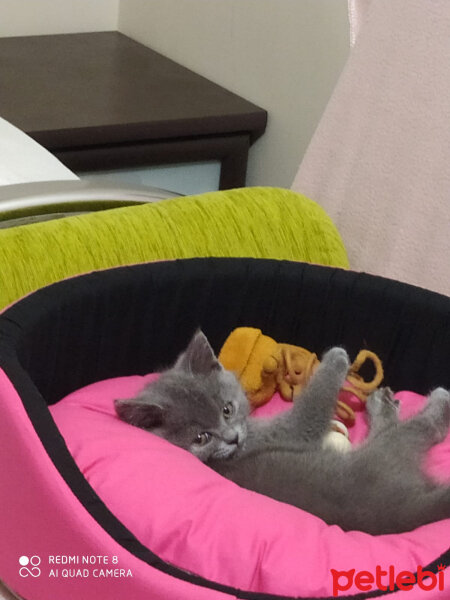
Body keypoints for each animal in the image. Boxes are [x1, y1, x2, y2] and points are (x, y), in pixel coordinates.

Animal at [113, 332, 450, 536]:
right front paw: (337, 358)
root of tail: (406, 513)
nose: (233, 438)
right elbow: (307, 416)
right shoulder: (284, 432)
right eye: (201, 438)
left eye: (226, 409)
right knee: (419, 430)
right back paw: (435, 401)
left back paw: (382, 404)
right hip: (386, 453)